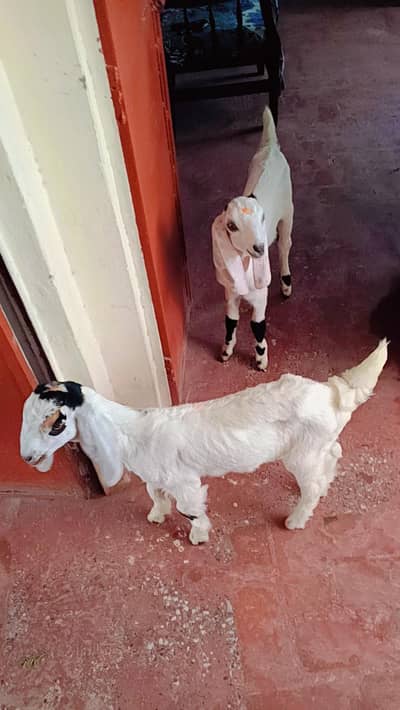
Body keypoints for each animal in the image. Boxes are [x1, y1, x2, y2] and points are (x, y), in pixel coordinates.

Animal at [20, 341, 387, 544]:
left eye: (55, 423)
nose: (26, 457)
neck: (134, 430)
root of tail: (332, 391)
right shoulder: (156, 475)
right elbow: (155, 494)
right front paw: (156, 515)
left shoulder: (184, 481)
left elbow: (190, 509)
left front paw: (198, 536)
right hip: (317, 444)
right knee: (333, 454)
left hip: (302, 452)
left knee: (311, 484)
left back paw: (297, 519)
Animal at [212, 106, 294, 371]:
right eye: (231, 225)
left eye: (263, 218)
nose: (258, 247)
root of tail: (271, 148)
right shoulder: (230, 294)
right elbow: (230, 320)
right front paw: (226, 350)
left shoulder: (260, 298)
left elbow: (257, 326)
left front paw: (261, 359)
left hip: (289, 210)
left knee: (285, 244)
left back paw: (286, 283)